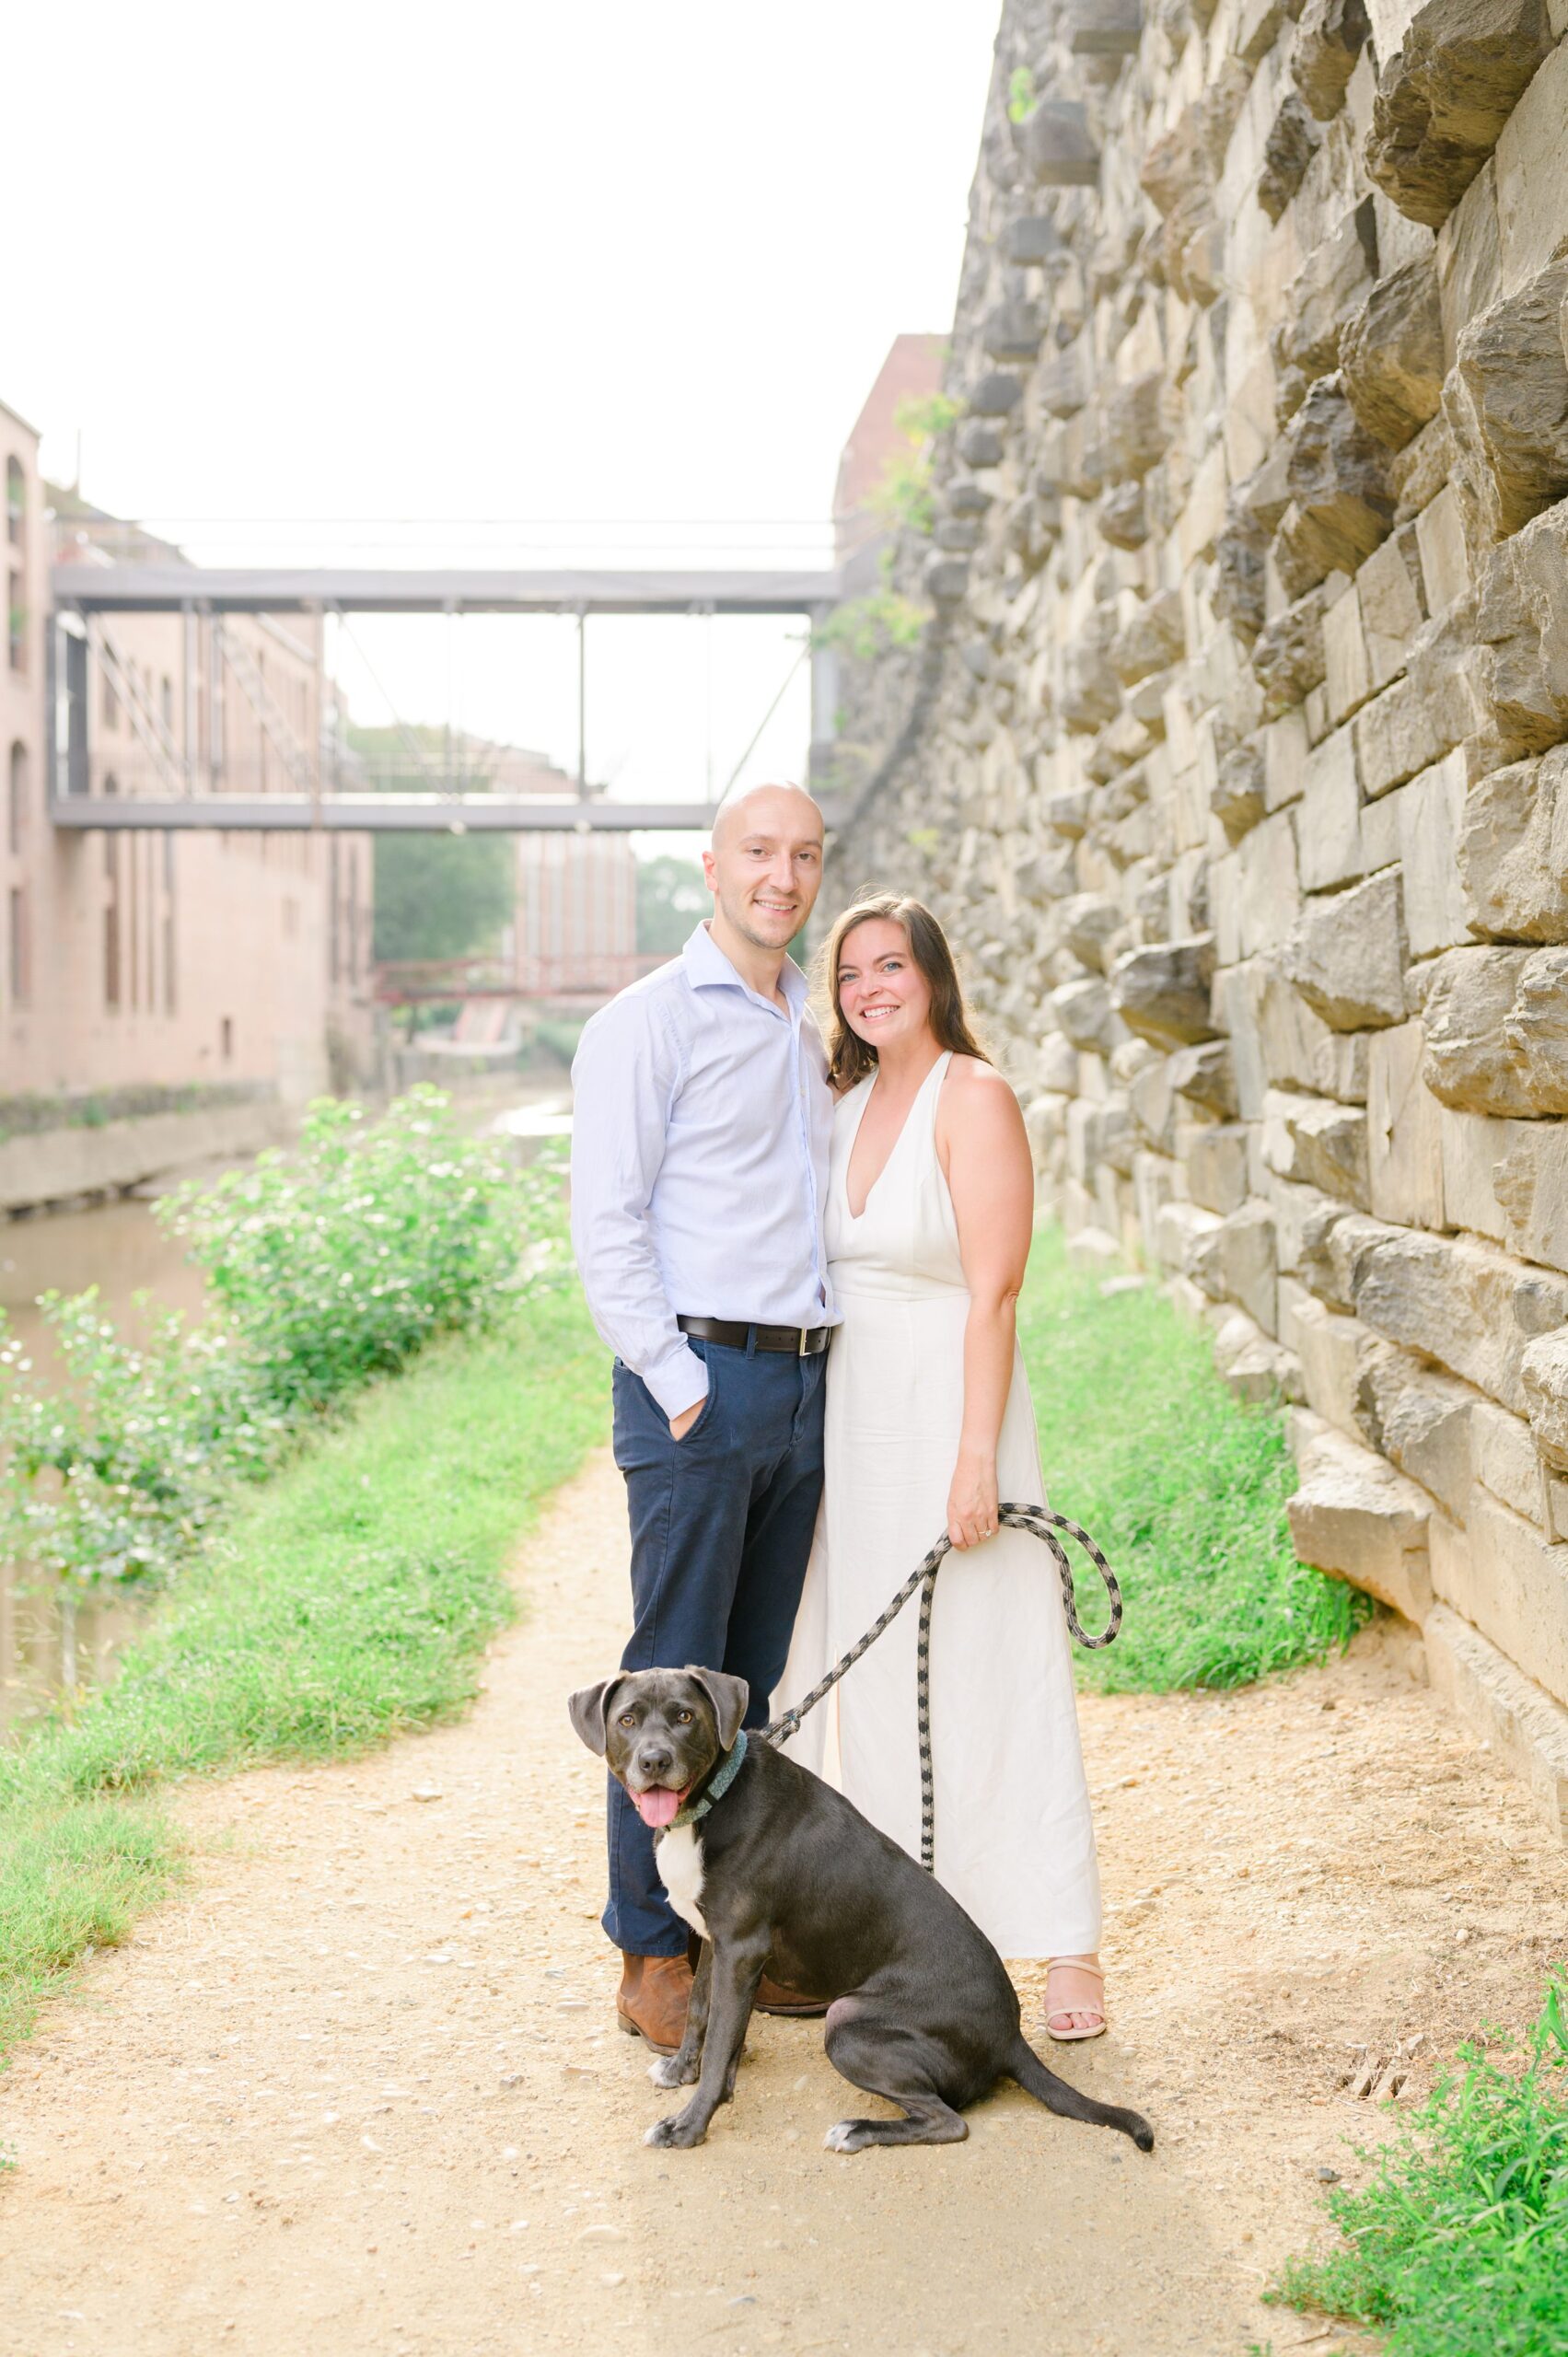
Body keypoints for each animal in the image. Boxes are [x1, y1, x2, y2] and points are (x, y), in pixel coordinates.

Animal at [568, 1659, 1155, 2158]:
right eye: (627, 1720)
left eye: (685, 1717)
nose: (654, 1762)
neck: (711, 1801)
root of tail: (1010, 2037)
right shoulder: (717, 1942)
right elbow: (699, 2014)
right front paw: (680, 2071)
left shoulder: (741, 1948)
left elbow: (718, 2049)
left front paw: (687, 2127)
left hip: (847, 2018)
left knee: (949, 2121)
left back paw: (857, 2131)